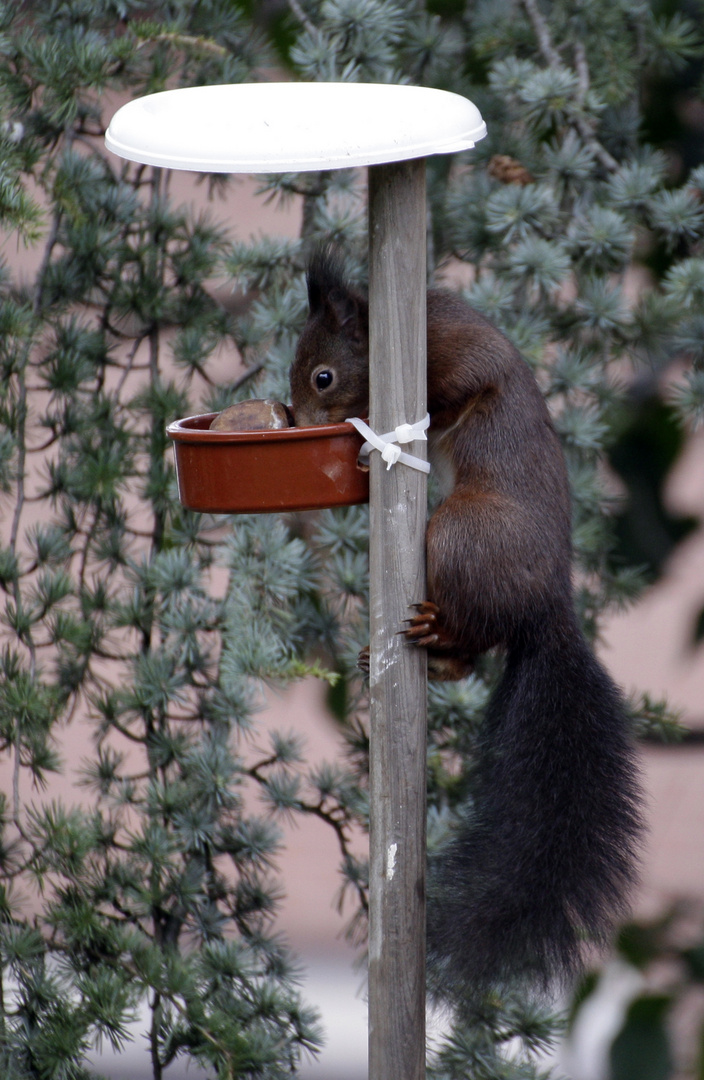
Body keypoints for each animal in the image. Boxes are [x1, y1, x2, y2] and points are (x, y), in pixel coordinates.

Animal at [289, 248, 639, 997]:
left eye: (323, 375)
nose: (298, 421)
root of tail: (549, 608)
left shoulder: (459, 349)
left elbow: (468, 387)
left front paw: (392, 423)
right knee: (473, 654)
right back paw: (415, 654)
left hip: (458, 534)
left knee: (475, 624)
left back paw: (435, 638)